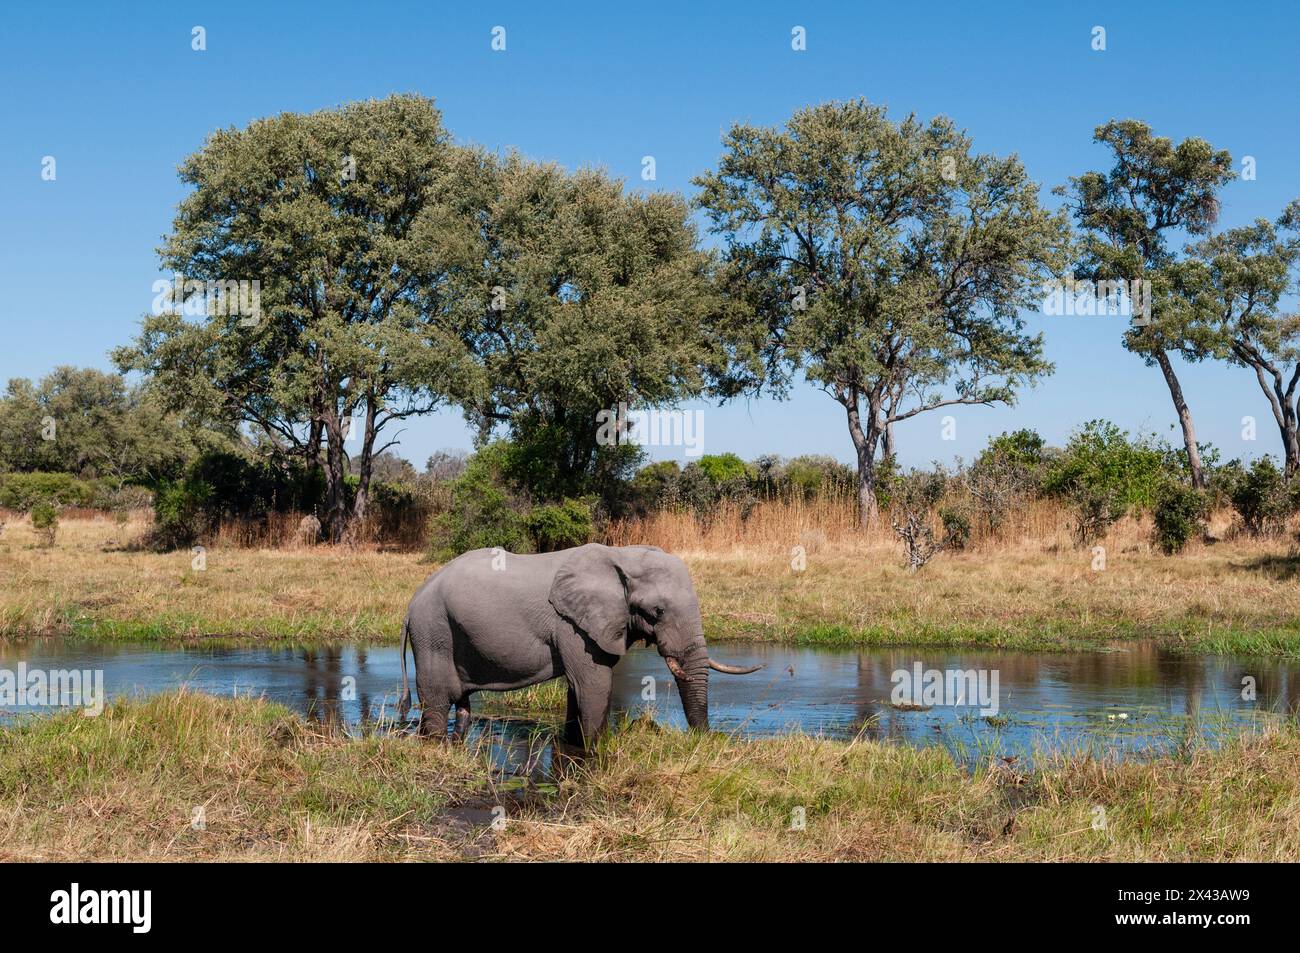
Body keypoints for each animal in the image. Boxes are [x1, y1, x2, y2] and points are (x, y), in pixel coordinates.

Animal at [395, 543, 759, 743]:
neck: (622, 556)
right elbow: (593, 684)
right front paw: (597, 749)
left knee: (463, 705)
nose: (709, 739)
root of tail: (411, 604)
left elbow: (578, 688)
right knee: (438, 699)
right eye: (657, 612)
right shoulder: (572, 625)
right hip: (433, 630)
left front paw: (574, 744)